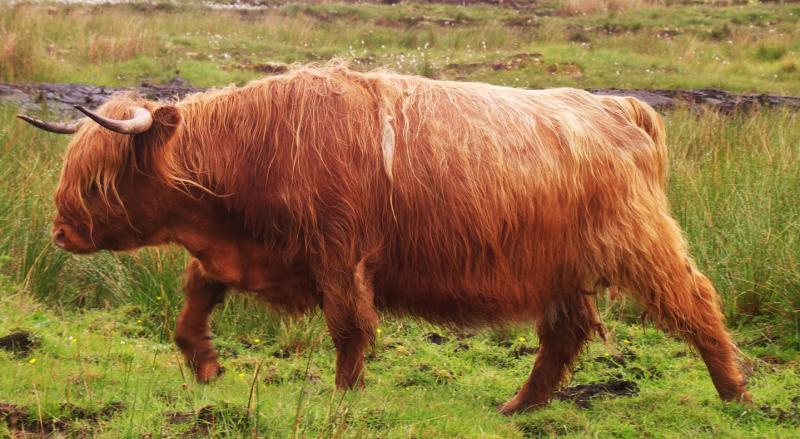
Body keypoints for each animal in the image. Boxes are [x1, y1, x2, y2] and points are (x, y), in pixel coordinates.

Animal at [18, 64, 751, 413]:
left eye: (101, 178)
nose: (59, 231)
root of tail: (614, 106)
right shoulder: (246, 253)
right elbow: (193, 301)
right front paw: (205, 364)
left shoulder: (340, 252)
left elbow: (350, 328)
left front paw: (345, 397)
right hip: (557, 269)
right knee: (563, 335)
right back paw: (517, 407)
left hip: (641, 244)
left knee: (697, 304)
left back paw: (737, 395)